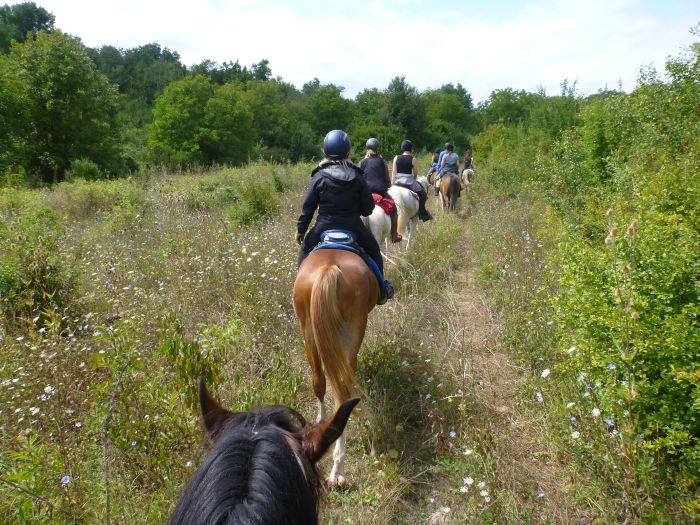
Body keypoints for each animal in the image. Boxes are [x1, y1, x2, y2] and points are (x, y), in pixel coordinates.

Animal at [292, 249, 380, 484]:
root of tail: (328, 269)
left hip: (309, 331)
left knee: (319, 381)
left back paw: (321, 421)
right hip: (352, 332)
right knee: (342, 390)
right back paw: (338, 466)